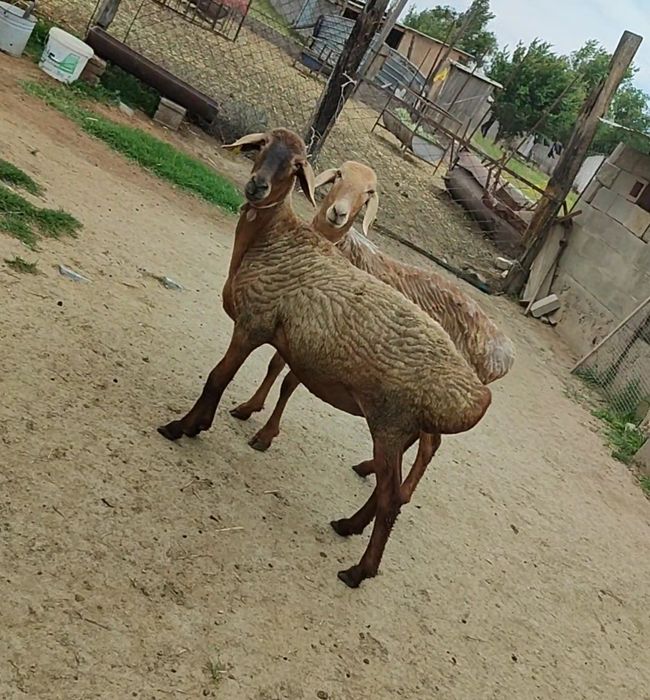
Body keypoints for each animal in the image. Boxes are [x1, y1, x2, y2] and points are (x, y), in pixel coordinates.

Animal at [230, 160, 514, 502]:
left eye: (369, 192)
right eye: (339, 175)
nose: (338, 212)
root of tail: (502, 354)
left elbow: (289, 381)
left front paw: (266, 434)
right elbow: (275, 366)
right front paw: (249, 408)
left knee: (429, 445)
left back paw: (401, 491)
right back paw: (368, 468)